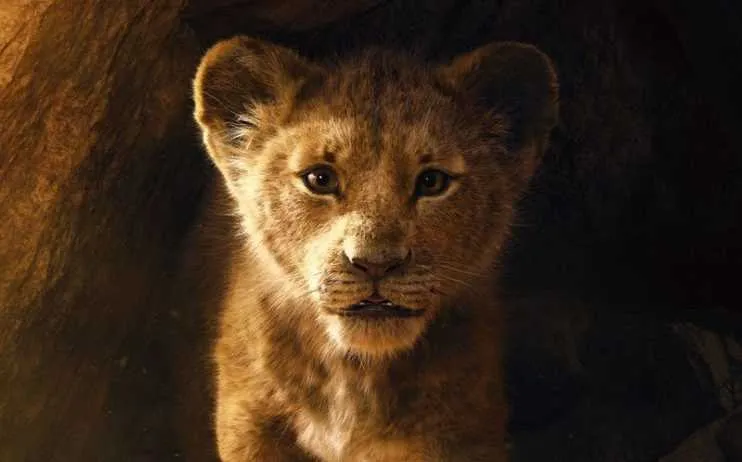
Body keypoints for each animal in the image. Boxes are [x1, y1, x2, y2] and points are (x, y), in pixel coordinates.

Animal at [191, 35, 558, 461]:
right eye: (320, 179)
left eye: (432, 182)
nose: (376, 264)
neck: (353, 376)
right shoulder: (250, 422)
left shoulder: (462, 431)